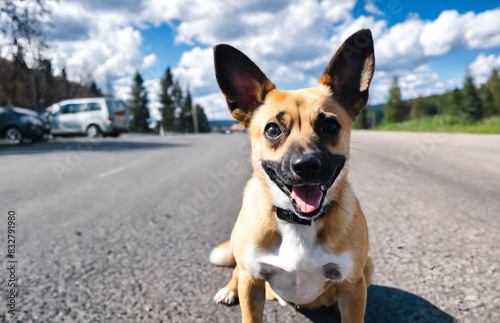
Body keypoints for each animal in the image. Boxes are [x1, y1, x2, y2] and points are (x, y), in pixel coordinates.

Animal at [210, 29, 376, 322]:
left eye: (330, 125)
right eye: (272, 129)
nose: (306, 165)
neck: (299, 223)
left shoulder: (352, 288)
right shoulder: (252, 283)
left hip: (368, 267)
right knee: (236, 270)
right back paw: (228, 290)